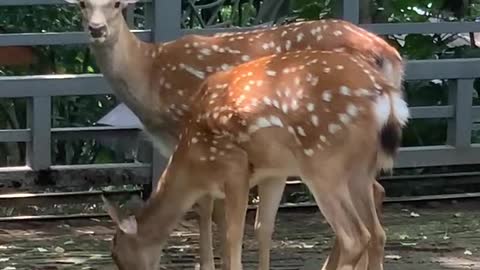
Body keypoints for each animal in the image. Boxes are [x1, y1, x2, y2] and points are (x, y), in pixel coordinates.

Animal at [64, 0, 404, 270]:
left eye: (117, 4)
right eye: (81, 3)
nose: (96, 29)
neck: (149, 75)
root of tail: (391, 57)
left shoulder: (195, 143)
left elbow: (209, 211)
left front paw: (207, 265)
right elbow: (254, 224)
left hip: (323, 164)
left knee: (360, 221)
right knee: (375, 205)